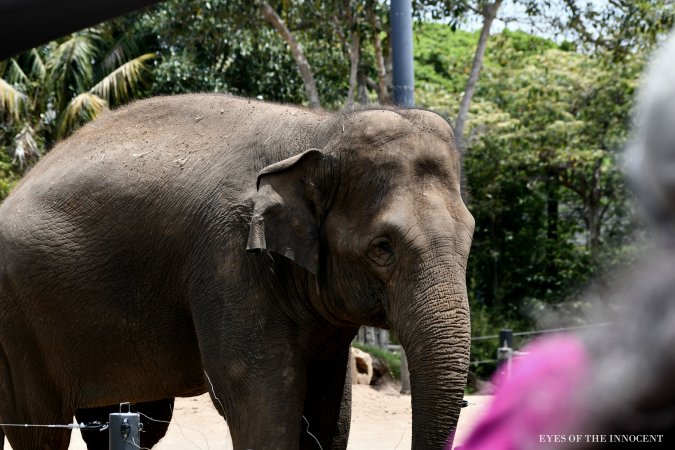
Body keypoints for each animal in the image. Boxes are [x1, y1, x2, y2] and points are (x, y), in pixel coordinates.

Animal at [0, 93, 476, 448]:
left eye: (471, 237)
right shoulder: (228, 257)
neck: (319, 131)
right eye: (382, 247)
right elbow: (260, 399)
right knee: (39, 428)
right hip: (18, 326)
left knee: (136, 424)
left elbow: (333, 406)